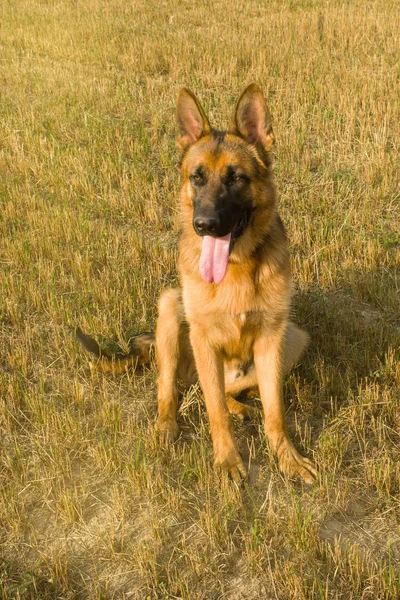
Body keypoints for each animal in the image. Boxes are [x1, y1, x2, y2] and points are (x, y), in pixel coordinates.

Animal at [76, 84, 318, 486]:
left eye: (236, 178)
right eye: (197, 177)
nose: (204, 224)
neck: (236, 268)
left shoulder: (272, 338)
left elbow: (274, 412)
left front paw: (287, 458)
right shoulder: (203, 338)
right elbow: (214, 411)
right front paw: (227, 460)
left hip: (295, 338)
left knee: (212, 390)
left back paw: (240, 407)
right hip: (170, 309)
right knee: (174, 389)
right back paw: (166, 427)